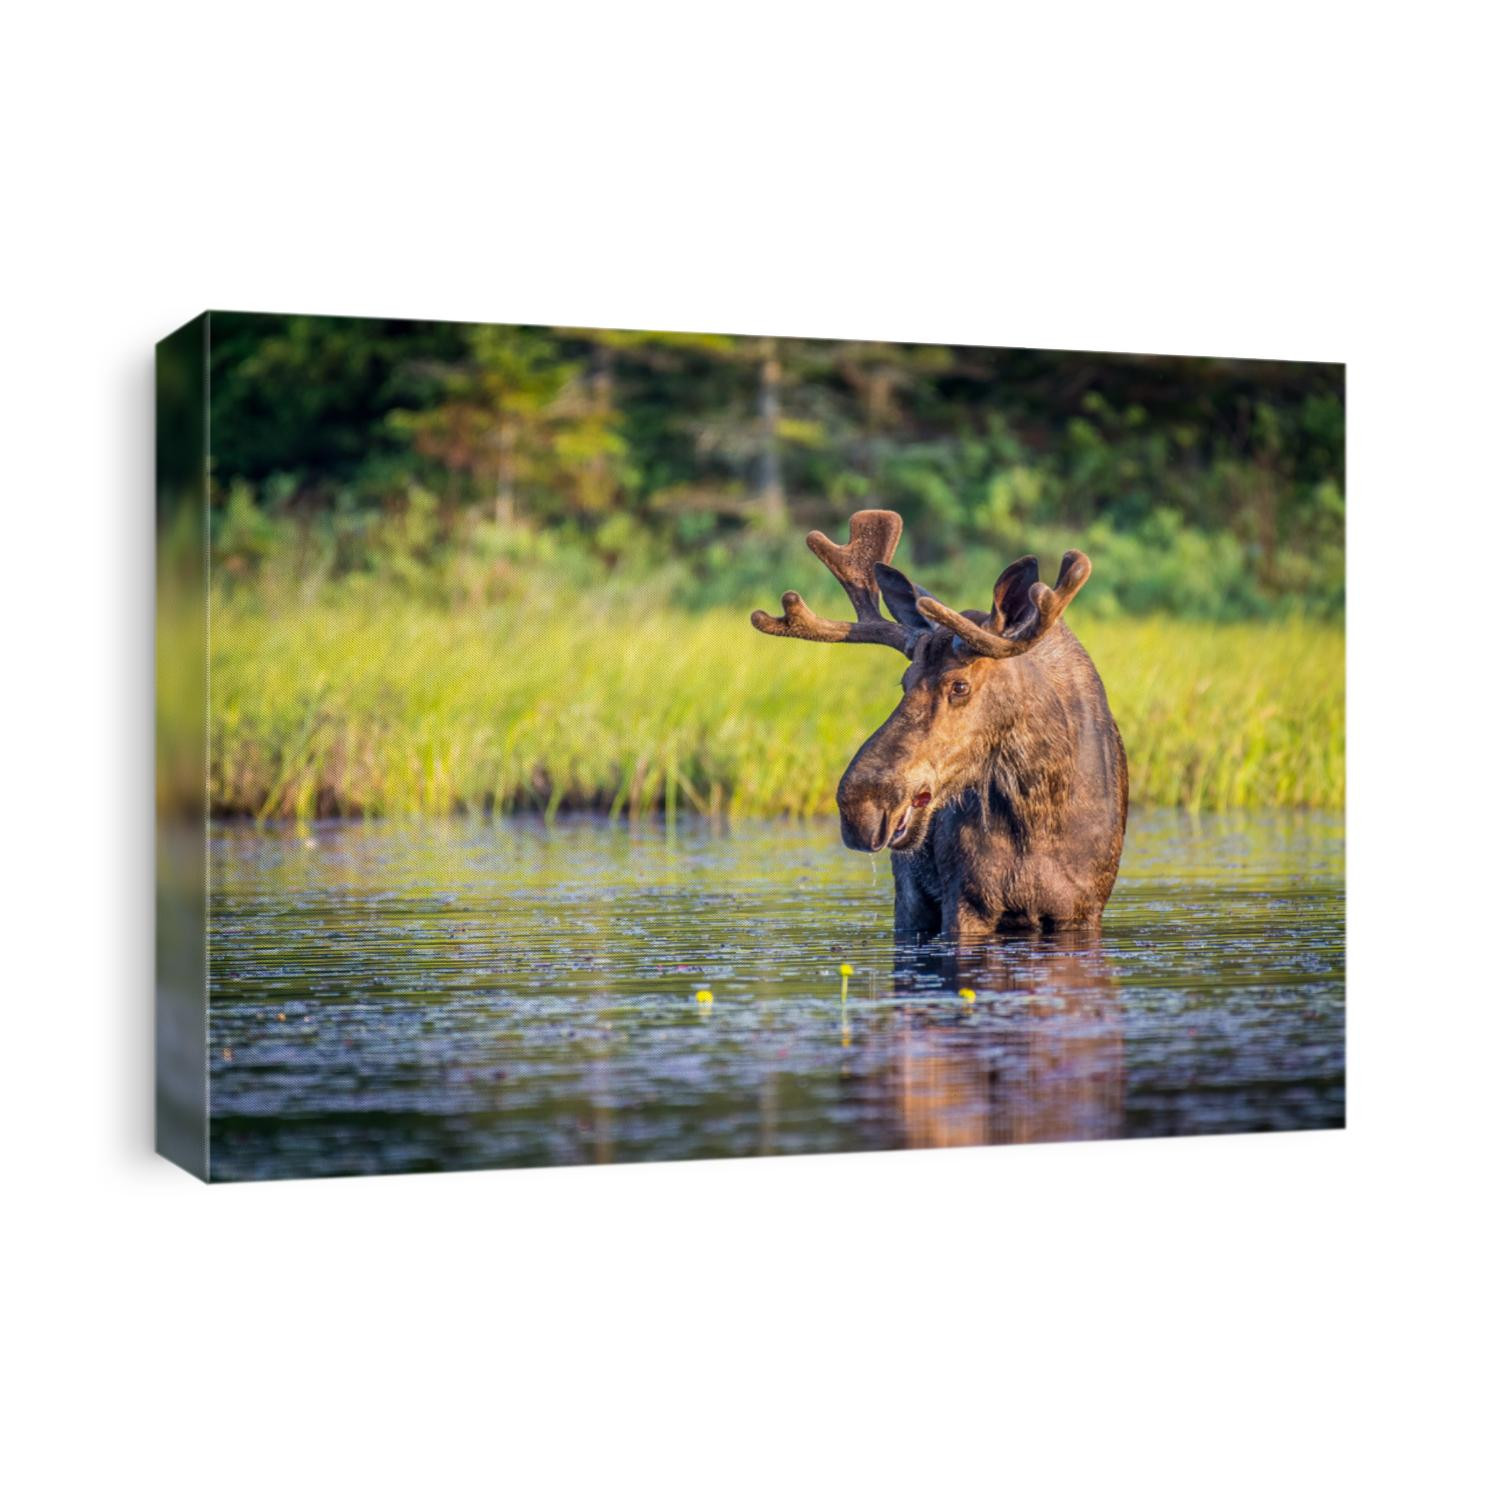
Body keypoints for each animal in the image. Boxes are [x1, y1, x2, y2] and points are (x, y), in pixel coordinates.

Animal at [751, 509, 1127, 940]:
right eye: (905, 681)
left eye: (959, 685)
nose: (860, 805)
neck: (1039, 811)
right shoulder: (965, 902)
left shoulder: (1082, 910)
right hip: (909, 897)